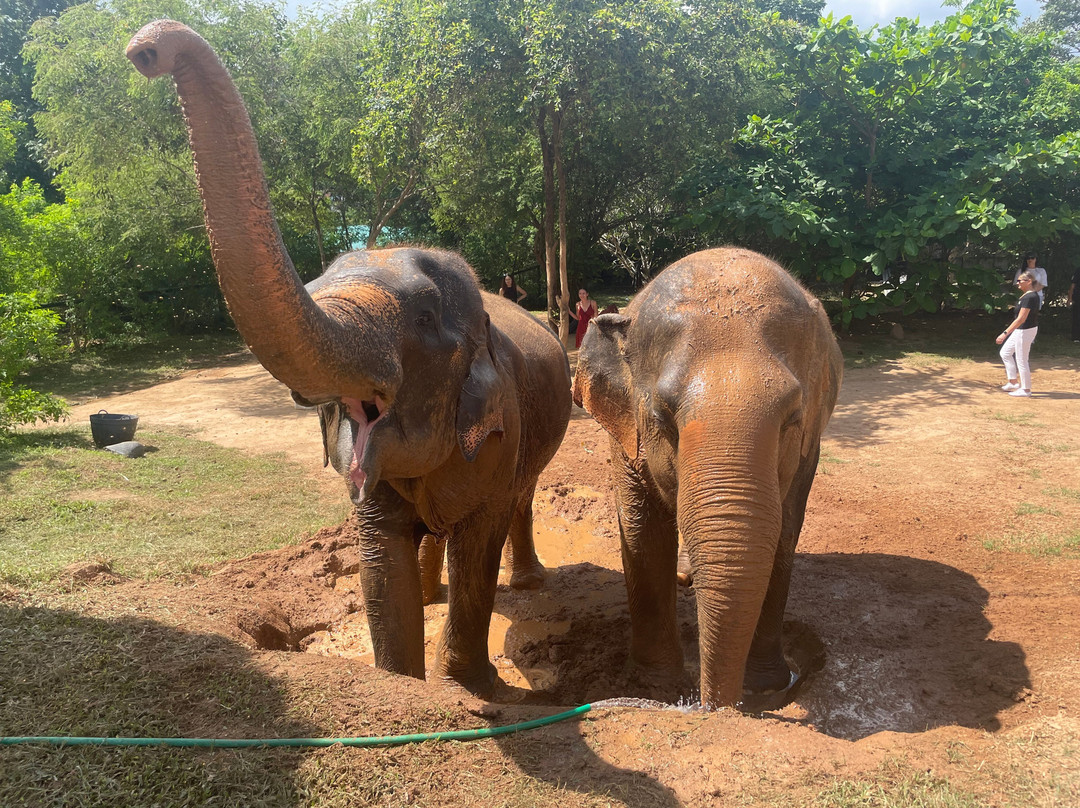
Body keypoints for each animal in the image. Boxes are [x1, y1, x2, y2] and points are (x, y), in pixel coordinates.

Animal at [126, 21, 571, 696]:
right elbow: (380, 562)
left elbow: (479, 545)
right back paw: (433, 591)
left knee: (521, 497)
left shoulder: (503, 431)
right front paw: (405, 683)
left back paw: (527, 583)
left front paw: (473, 690)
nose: (145, 50)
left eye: (423, 319)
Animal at [573, 247, 842, 711]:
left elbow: (784, 532)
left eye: (792, 420)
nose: (711, 708)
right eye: (663, 418)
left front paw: (766, 688)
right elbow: (643, 531)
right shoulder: (624, 436)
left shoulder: (809, 448)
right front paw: (654, 685)